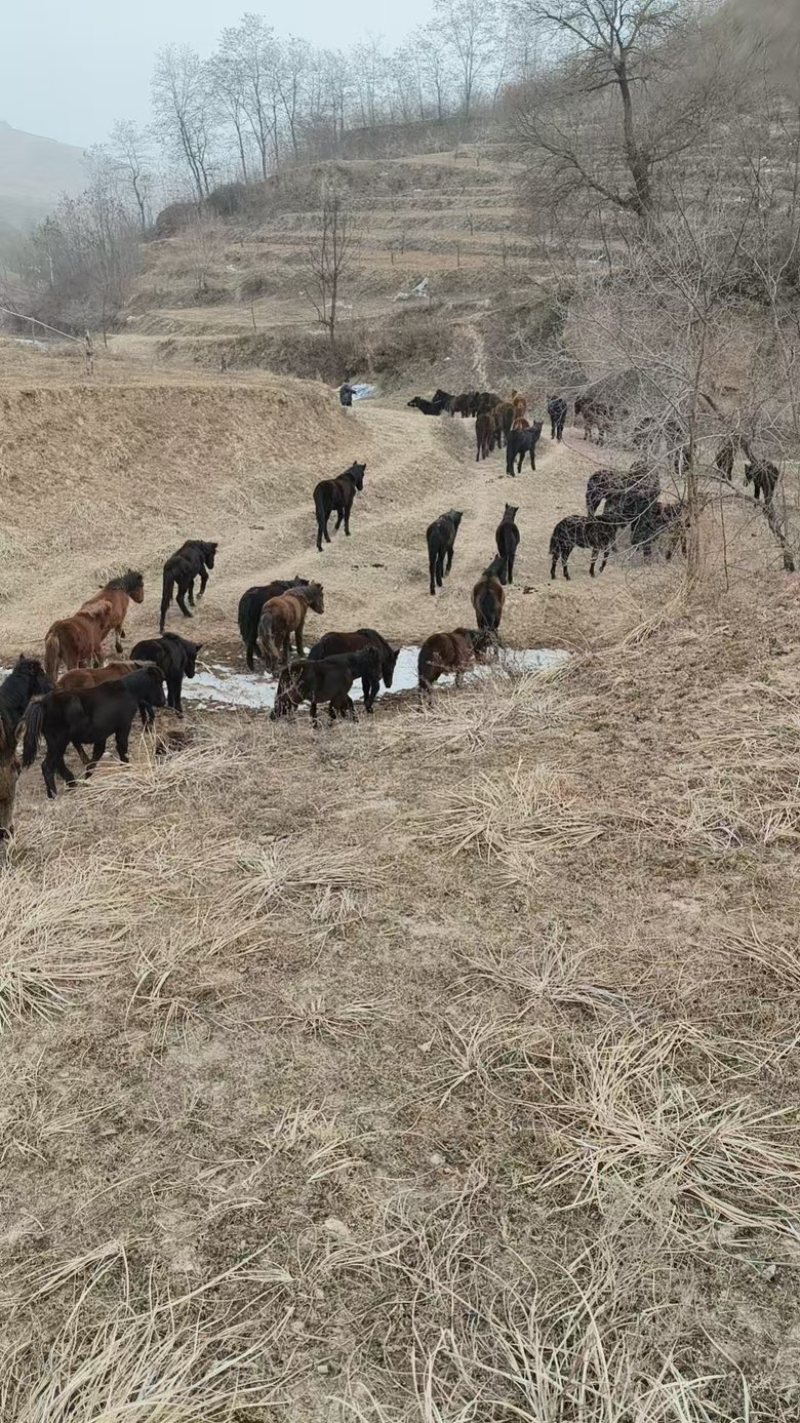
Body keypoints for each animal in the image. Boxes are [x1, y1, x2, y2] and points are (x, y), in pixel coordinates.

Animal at [22, 666, 166, 799]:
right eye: (158, 682)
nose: (163, 701)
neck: (129, 690)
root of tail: (42, 703)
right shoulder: (123, 727)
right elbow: (122, 749)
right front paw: (127, 770)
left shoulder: (101, 736)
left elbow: (96, 756)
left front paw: (87, 778)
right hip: (58, 741)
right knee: (47, 766)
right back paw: (53, 794)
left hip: (56, 742)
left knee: (58, 762)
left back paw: (71, 783)